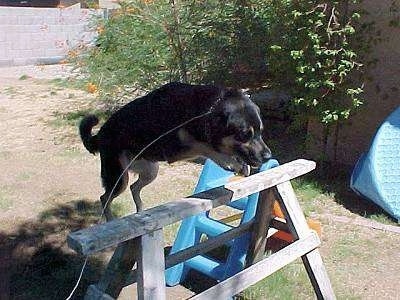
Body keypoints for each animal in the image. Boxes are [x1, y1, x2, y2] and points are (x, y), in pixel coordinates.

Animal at [79, 82, 270, 220]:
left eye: (261, 131)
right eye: (244, 135)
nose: (268, 156)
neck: (205, 109)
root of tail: (99, 135)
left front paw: (241, 164)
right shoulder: (180, 146)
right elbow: (208, 148)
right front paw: (231, 163)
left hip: (150, 171)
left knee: (134, 188)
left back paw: (141, 211)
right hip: (119, 178)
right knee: (105, 198)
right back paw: (110, 220)